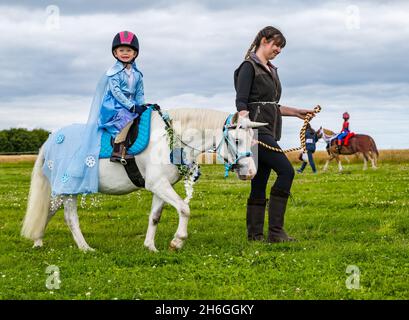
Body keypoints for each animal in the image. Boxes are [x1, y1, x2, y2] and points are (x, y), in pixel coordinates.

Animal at [22, 109, 266, 251]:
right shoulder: (158, 185)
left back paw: (38, 241)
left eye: (252, 138)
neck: (169, 140)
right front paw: (177, 241)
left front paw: (150, 246)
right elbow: (184, 209)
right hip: (68, 188)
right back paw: (85, 248)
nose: (251, 172)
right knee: (70, 217)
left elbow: (155, 217)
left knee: (48, 210)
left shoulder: (161, 187)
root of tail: (52, 139)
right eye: (237, 139)